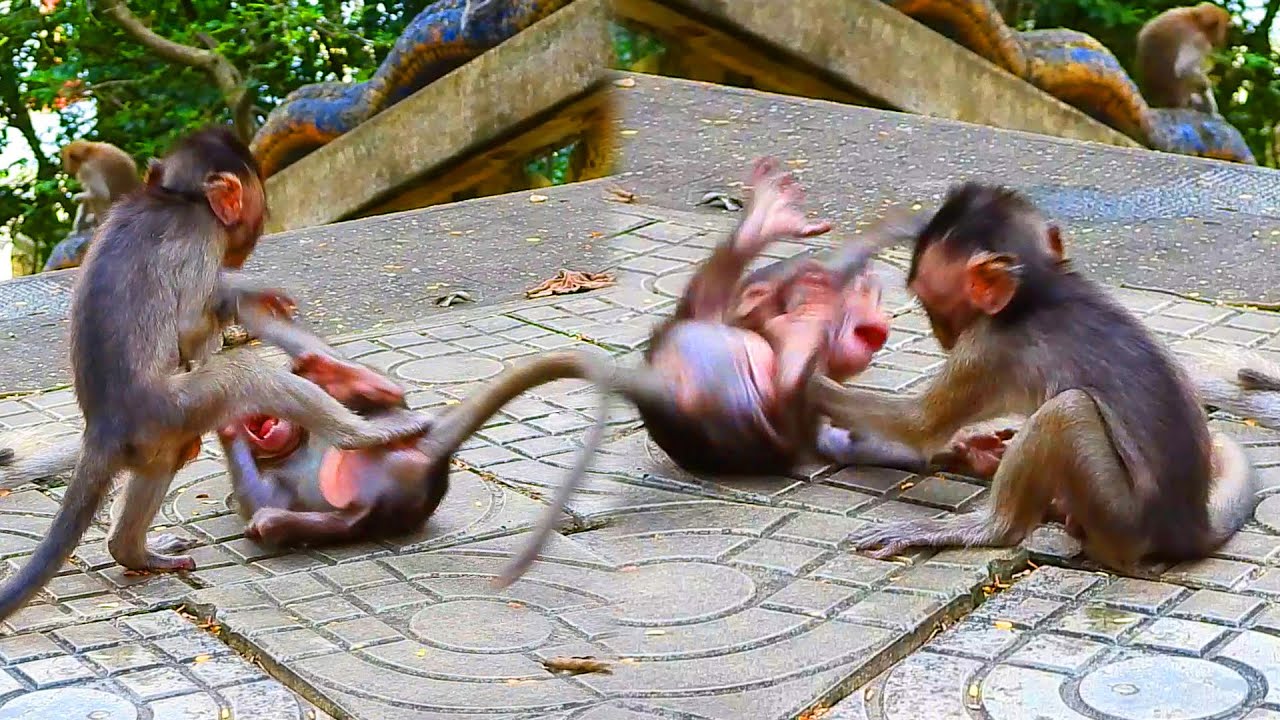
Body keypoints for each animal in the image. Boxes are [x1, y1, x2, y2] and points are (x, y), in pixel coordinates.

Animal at [0, 126, 437, 621]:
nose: (255, 230)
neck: (177, 197)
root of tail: (102, 426)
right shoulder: (200, 236)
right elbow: (194, 318)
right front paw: (248, 289)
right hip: (172, 406)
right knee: (240, 373)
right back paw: (362, 435)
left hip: (153, 429)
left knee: (166, 457)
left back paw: (130, 550)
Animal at [810, 183, 1257, 572]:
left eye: (927, 303)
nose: (940, 335)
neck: (1037, 289)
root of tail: (1190, 528)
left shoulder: (986, 350)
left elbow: (919, 425)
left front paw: (809, 380)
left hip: (1120, 520)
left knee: (1067, 410)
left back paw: (988, 529)